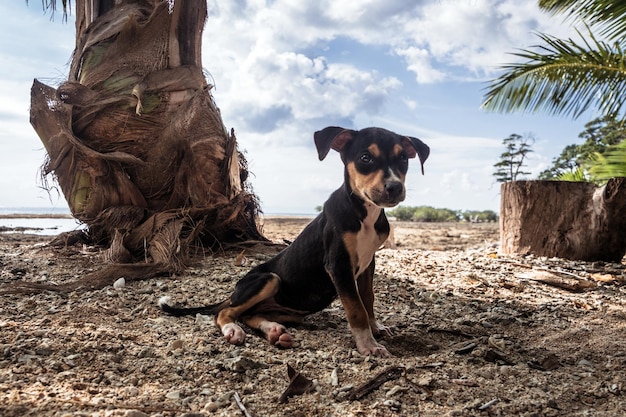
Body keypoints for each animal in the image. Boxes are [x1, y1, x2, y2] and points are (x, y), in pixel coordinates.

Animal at [158, 125, 426, 356]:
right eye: (365, 158)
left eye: (403, 159)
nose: (394, 187)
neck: (364, 213)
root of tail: (234, 291)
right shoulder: (339, 265)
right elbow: (356, 308)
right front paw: (368, 345)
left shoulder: (368, 263)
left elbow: (368, 299)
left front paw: (376, 328)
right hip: (268, 279)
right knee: (225, 312)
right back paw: (233, 330)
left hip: (288, 310)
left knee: (249, 314)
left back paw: (274, 331)